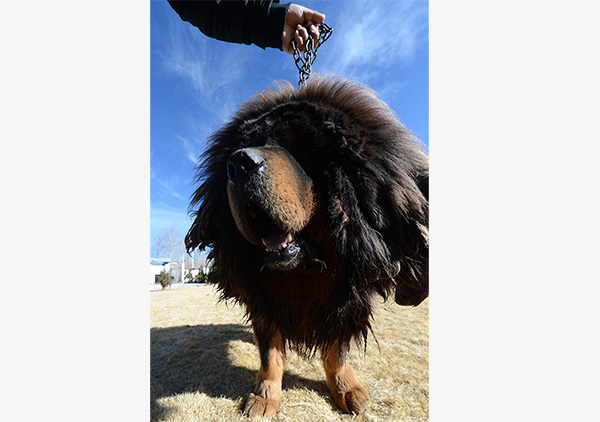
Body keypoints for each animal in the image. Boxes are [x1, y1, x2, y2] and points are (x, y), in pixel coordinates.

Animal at [185, 75, 428, 416]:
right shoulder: (264, 299)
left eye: (299, 149)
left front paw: (345, 389)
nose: (238, 163)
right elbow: (269, 354)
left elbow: (336, 352)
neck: (303, 272)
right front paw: (264, 396)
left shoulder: (344, 298)